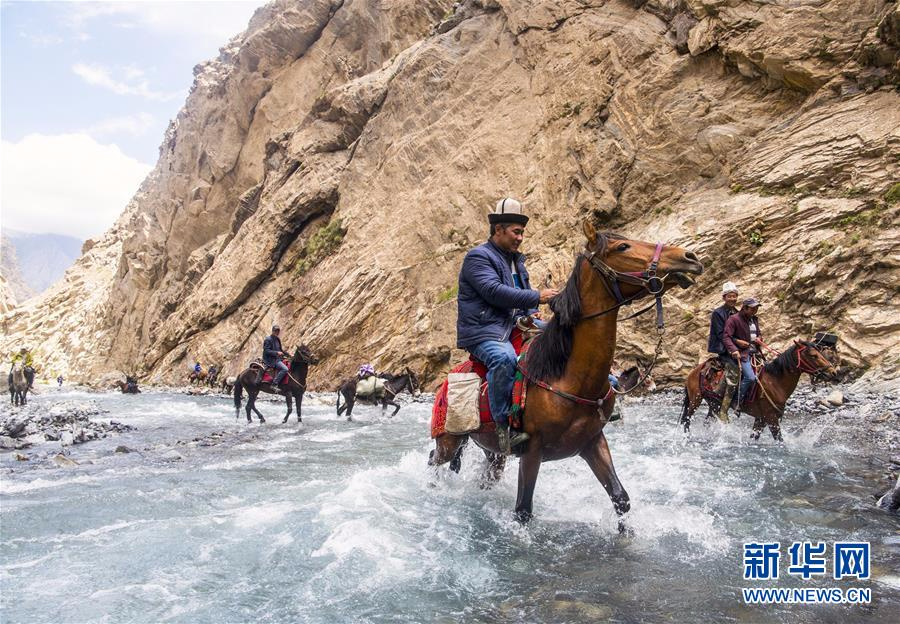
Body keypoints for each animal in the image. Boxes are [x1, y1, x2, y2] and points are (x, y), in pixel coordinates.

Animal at [428, 224, 704, 528]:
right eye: (623, 247)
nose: (690, 257)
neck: (568, 377)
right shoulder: (532, 451)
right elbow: (523, 509)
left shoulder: (592, 442)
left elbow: (620, 497)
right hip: (449, 441)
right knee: (434, 459)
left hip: (493, 451)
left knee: (488, 474)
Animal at [684, 342, 840, 438]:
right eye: (813, 355)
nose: (833, 372)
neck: (775, 382)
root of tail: (696, 370)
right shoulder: (770, 417)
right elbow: (779, 440)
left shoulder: (761, 419)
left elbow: (754, 437)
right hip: (695, 400)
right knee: (687, 420)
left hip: (714, 404)